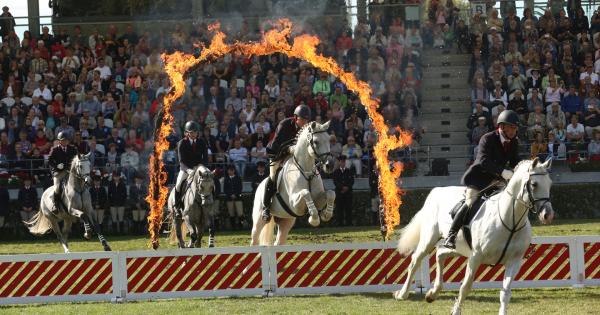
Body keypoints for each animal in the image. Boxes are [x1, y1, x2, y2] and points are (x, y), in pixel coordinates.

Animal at [396, 159, 556, 314]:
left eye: (550, 184)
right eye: (534, 184)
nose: (548, 215)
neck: (511, 222)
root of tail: (436, 191)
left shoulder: (514, 261)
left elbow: (505, 293)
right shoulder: (476, 257)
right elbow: (465, 287)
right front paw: (456, 311)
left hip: (458, 248)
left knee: (440, 254)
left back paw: (432, 293)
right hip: (429, 240)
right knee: (415, 261)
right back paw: (402, 294)